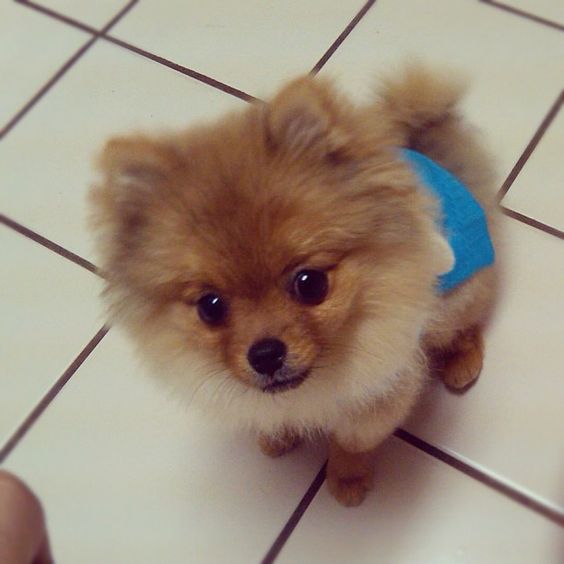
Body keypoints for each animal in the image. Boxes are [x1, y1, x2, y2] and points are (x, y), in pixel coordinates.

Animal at [89, 66, 498, 506]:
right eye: (210, 306)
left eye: (310, 283)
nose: (266, 354)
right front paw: (278, 435)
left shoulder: (384, 390)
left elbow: (353, 440)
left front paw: (347, 477)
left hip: (457, 294)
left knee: (466, 323)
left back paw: (461, 361)